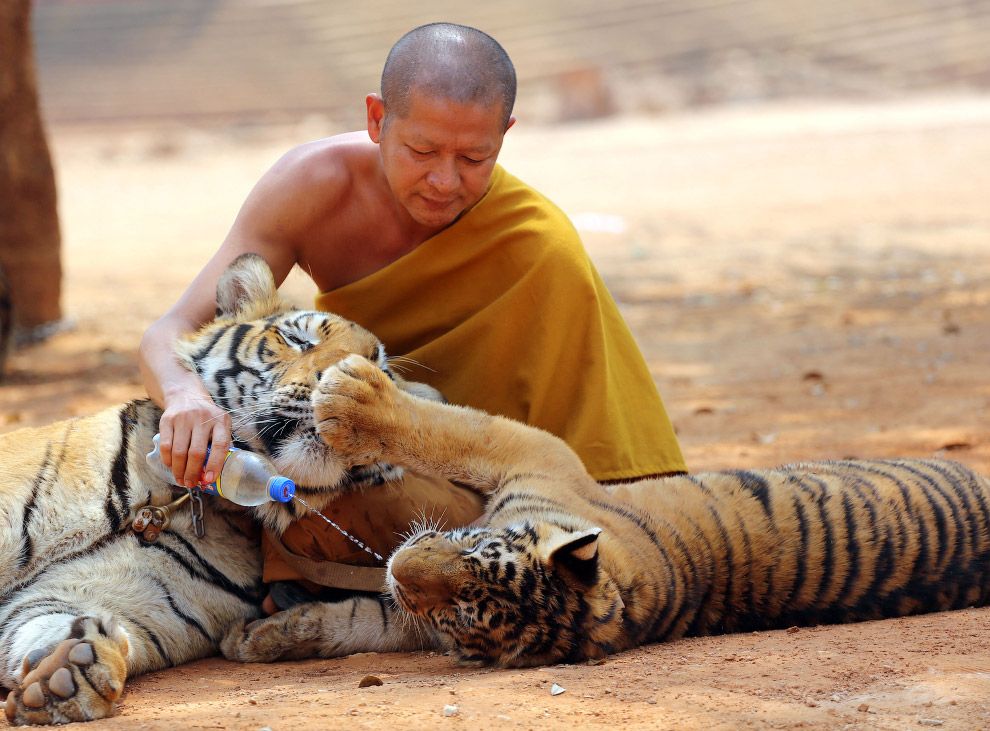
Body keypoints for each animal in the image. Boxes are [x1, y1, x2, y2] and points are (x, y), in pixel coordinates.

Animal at [0, 253, 438, 725]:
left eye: (382, 374)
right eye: (297, 339)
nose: (340, 384)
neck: (175, 501)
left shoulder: (113, 598)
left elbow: (47, 621)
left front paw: (66, 671)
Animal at [223, 353, 990, 669]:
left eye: (461, 612)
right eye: (468, 557)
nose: (402, 567)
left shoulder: (530, 451)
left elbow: (446, 429)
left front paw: (352, 396)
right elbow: (354, 618)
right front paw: (260, 639)